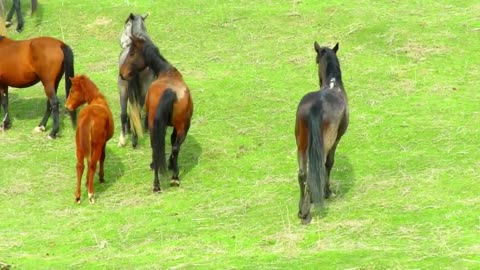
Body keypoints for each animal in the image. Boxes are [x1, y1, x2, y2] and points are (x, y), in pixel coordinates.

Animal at [65, 75, 114, 204]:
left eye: (72, 91)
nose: (67, 106)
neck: (97, 99)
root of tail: (89, 117)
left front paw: (86, 182)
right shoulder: (103, 143)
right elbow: (102, 158)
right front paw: (101, 177)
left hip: (79, 146)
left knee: (80, 166)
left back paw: (78, 196)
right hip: (97, 145)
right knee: (92, 165)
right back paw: (91, 194)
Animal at [117, 12, 155, 148]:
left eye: (126, 25)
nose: (121, 41)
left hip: (122, 88)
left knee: (123, 113)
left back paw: (123, 139)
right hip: (142, 90)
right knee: (136, 113)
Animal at [119, 37, 192, 193]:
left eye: (132, 53)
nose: (122, 73)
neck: (167, 72)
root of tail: (169, 91)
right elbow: (172, 143)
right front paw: (170, 164)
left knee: (156, 148)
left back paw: (156, 184)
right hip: (183, 128)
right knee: (173, 148)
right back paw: (174, 177)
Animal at [292, 41, 348, 224]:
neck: (333, 85)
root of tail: (317, 105)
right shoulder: (335, 141)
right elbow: (329, 164)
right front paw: (327, 192)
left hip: (301, 146)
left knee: (303, 174)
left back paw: (302, 209)